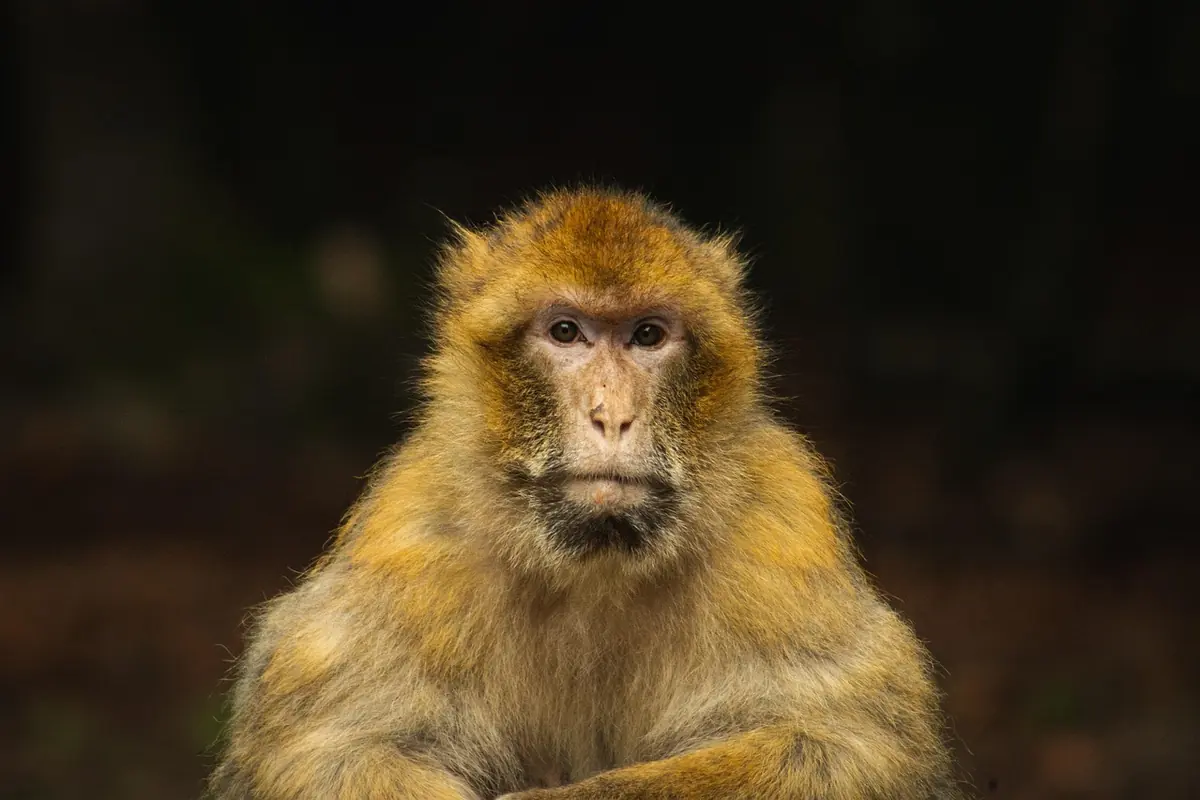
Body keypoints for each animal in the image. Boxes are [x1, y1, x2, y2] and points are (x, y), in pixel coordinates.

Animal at [207, 187, 968, 799]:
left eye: (648, 335)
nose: (611, 414)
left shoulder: (780, 525)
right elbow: (320, 748)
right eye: (566, 332)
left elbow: (855, 742)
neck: (594, 562)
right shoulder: (412, 537)